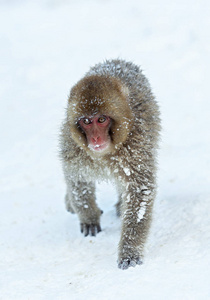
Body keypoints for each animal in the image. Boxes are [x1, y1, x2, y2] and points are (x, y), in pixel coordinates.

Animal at [60, 59, 160, 270]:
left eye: (101, 119)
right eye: (87, 121)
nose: (96, 138)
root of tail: (117, 61)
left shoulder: (136, 147)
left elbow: (140, 192)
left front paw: (130, 250)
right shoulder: (71, 144)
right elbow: (77, 178)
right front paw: (88, 216)